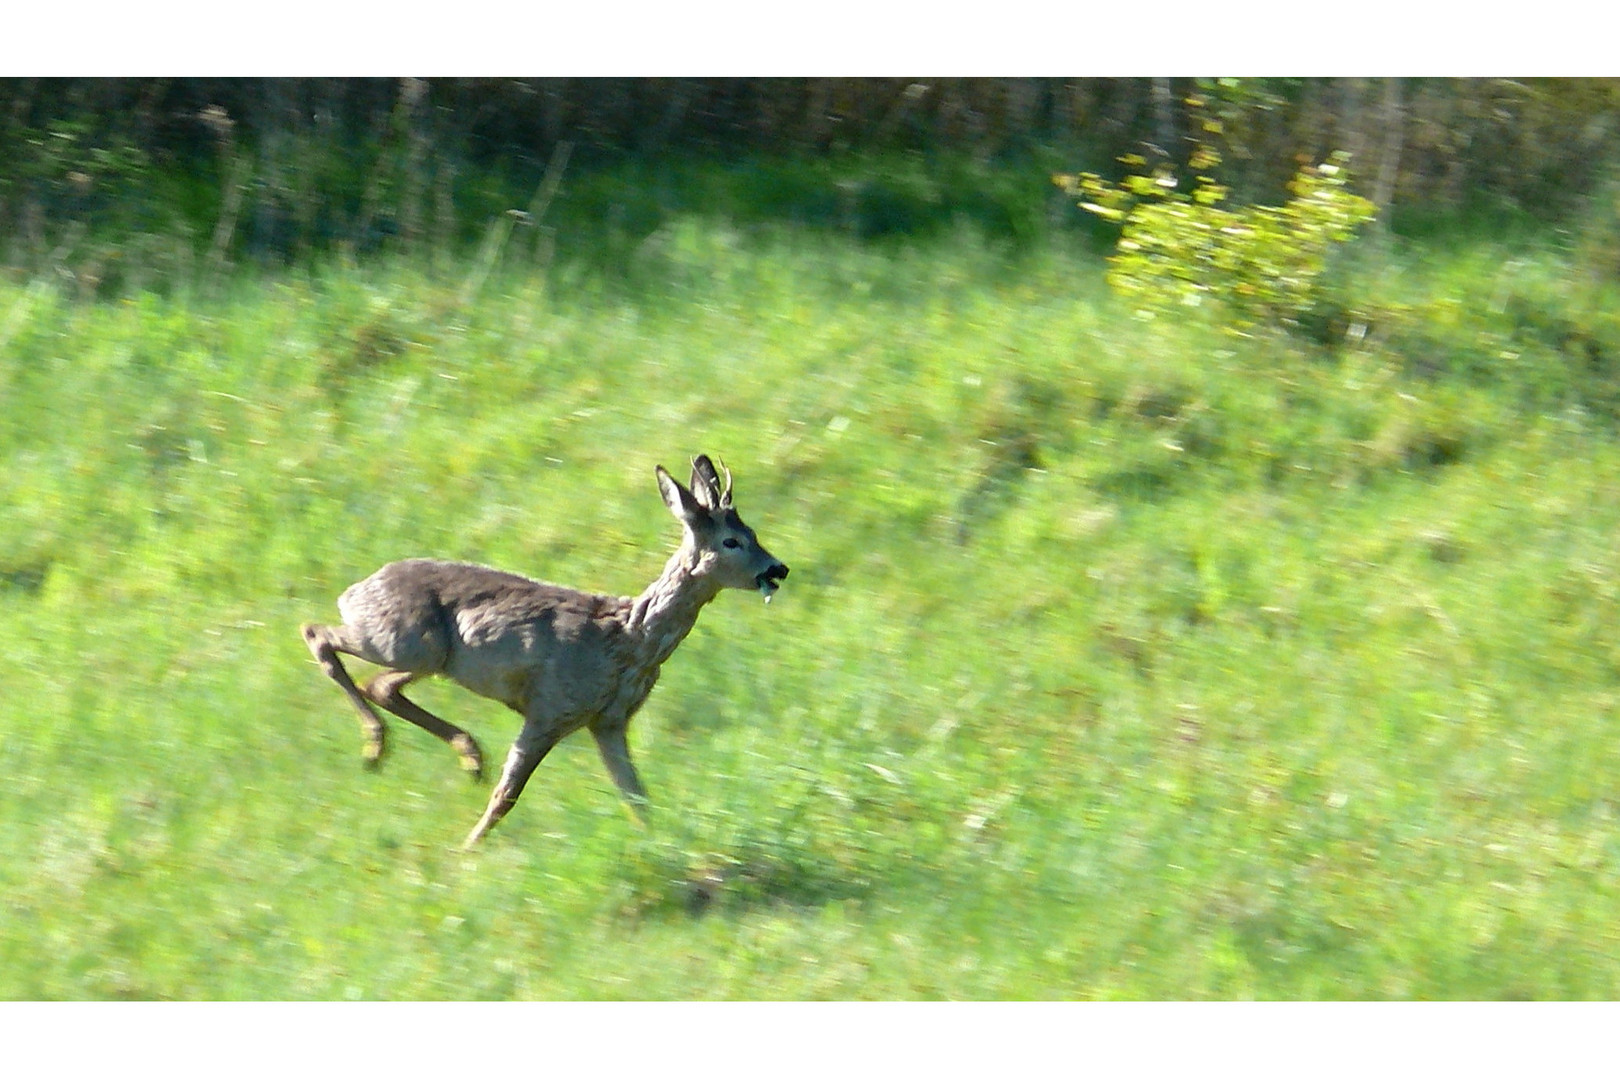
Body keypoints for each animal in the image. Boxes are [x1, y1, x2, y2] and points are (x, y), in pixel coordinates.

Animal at [302, 453, 790, 848]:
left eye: (753, 531)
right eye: (731, 541)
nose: (779, 568)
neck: (631, 640)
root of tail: (355, 589)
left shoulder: (608, 721)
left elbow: (636, 794)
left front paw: (662, 846)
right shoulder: (550, 708)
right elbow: (508, 794)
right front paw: (465, 852)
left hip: (425, 657)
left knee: (379, 684)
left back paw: (463, 756)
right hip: (401, 643)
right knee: (318, 634)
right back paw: (379, 748)